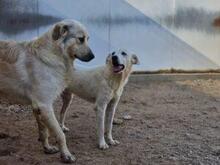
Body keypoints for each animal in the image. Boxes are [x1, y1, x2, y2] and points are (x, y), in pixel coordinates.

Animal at [0, 20, 93, 163]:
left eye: (88, 39)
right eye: (81, 39)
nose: (93, 57)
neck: (53, 54)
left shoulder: (37, 107)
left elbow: (44, 131)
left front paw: (47, 148)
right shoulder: (44, 105)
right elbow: (60, 134)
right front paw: (66, 155)